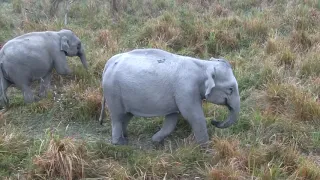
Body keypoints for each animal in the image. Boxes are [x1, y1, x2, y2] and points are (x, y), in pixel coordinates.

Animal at [99, 48, 241, 146]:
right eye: (230, 89)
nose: (214, 121)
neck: (203, 64)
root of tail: (108, 63)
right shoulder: (186, 89)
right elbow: (194, 116)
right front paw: (206, 148)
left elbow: (172, 118)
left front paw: (155, 141)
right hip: (112, 91)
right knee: (118, 116)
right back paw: (120, 143)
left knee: (126, 115)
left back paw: (126, 137)